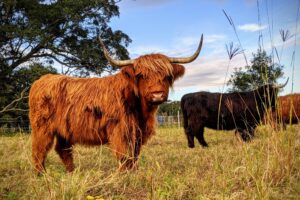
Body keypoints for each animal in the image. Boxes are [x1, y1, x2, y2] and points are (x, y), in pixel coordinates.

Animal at [29, 35, 204, 173]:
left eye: (167, 76)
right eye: (141, 75)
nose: (157, 94)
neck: (141, 111)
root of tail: (42, 79)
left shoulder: (137, 133)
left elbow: (134, 156)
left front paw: (133, 173)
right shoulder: (120, 131)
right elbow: (124, 156)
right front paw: (123, 176)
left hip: (64, 130)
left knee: (63, 149)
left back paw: (72, 173)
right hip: (42, 127)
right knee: (39, 149)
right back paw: (43, 176)